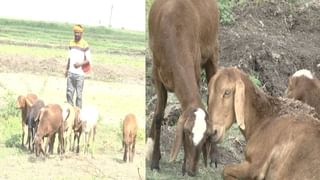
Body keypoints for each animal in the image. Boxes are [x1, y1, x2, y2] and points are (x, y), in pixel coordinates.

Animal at [147, 0, 219, 176]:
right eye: (186, 133)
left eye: (206, 136)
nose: (192, 171)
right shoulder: (157, 75)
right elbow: (158, 116)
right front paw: (154, 162)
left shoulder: (194, 66)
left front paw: (184, 166)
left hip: (212, 52)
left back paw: (214, 157)